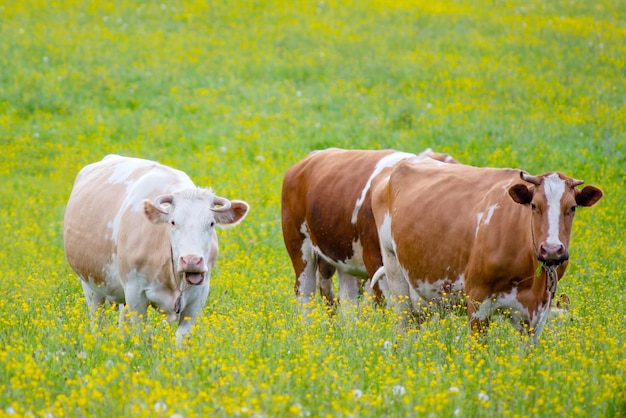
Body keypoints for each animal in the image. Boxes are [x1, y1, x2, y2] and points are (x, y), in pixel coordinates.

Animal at [62, 155, 249, 342]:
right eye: (173, 222)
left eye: (211, 223)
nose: (191, 261)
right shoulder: (135, 293)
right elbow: (141, 334)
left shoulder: (198, 296)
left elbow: (181, 337)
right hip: (90, 283)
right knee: (97, 319)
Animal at [280, 148, 456, 314]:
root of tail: (312, 156)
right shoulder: (374, 258)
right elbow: (387, 303)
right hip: (300, 247)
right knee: (305, 293)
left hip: (344, 255)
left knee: (347, 300)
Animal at [368, 160, 604, 340]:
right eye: (534, 206)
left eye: (572, 208)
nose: (552, 250)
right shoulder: (477, 300)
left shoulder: (537, 315)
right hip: (396, 276)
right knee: (403, 330)